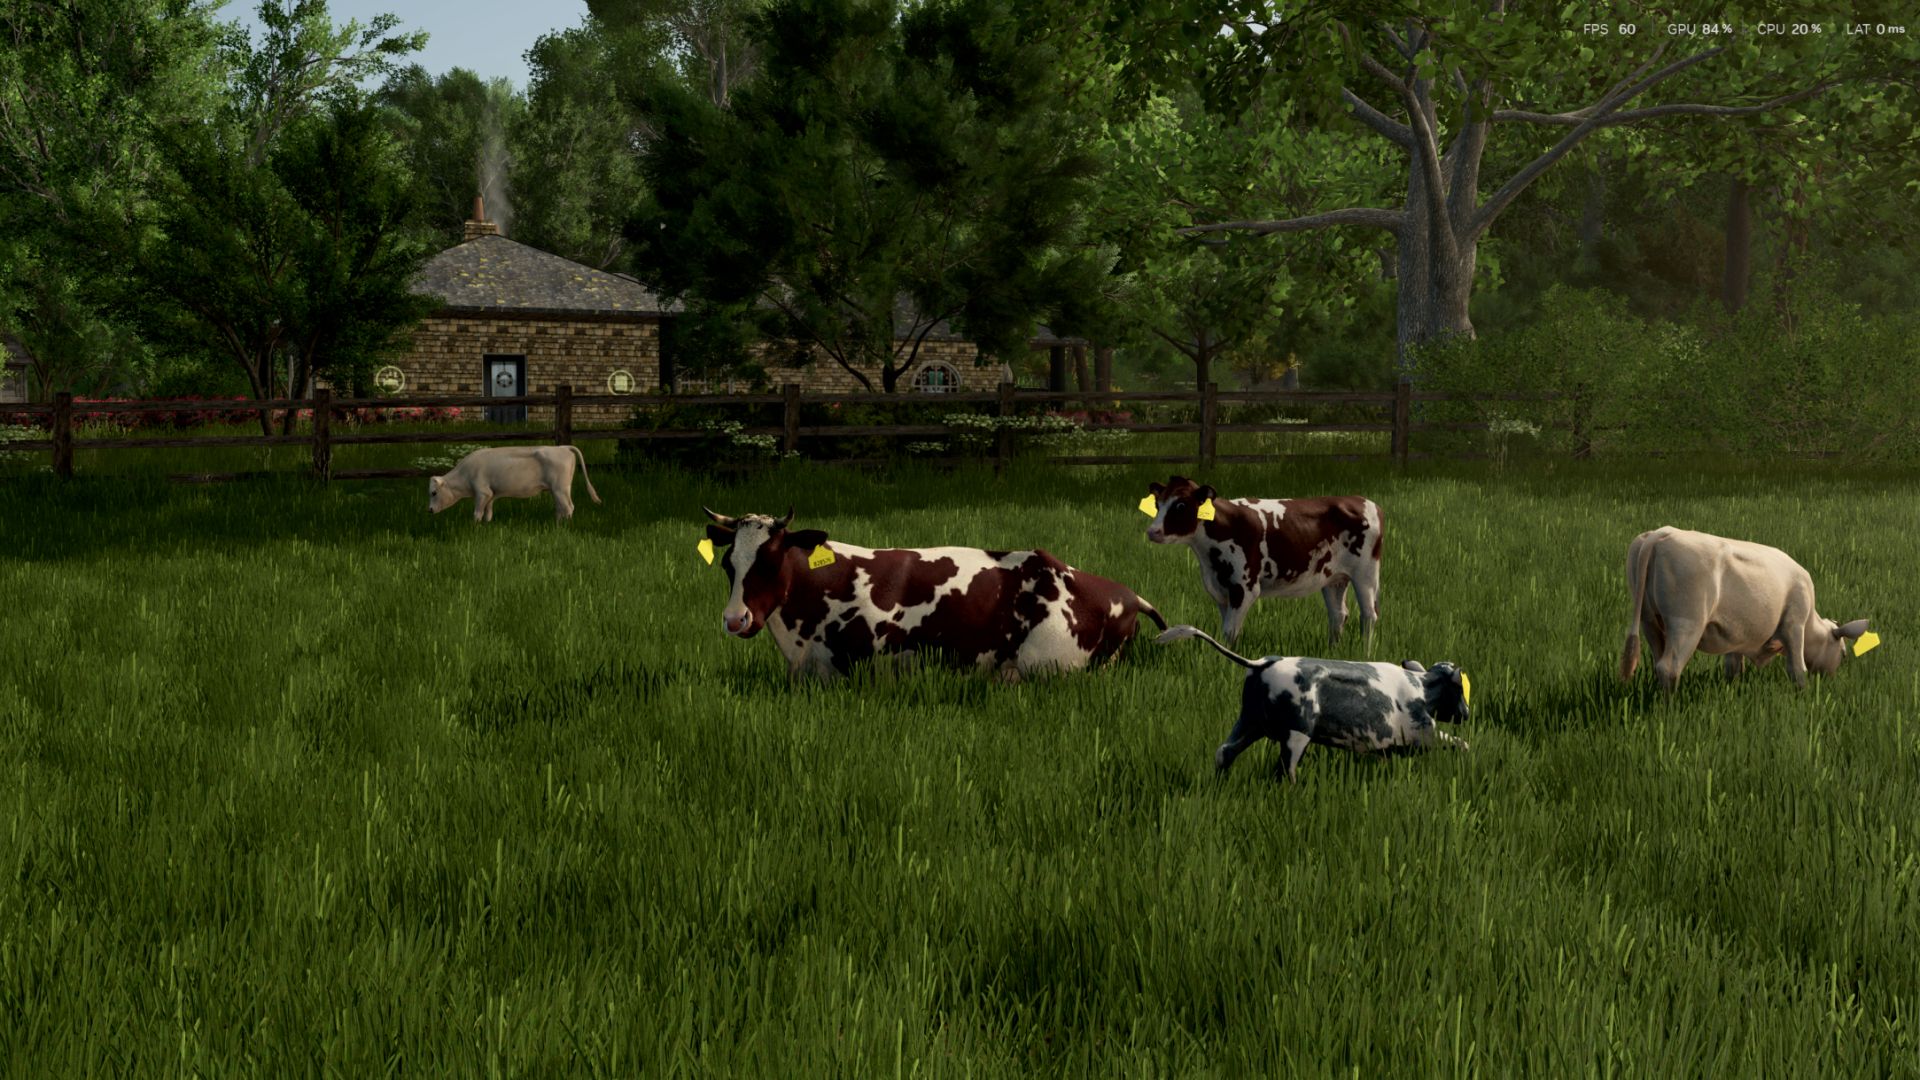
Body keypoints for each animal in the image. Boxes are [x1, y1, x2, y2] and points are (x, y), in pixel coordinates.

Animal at [428, 445, 601, 522]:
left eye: (434, 492)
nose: (429, 510)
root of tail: (562, 447)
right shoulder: (491, 495)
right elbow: (488, 513)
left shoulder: (482, 493)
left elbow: (477, 513)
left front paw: (475, 527)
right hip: (558, 490)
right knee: (560, 508)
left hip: (560, 489)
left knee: (568, 507)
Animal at [1143, 476, 1383, 652]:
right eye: (1157, 503)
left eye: (1181, 505)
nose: (1152, 532)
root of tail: (1363, 501)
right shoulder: (1222, 589)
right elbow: (1226, 627)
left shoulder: (1244, 587)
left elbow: (1230, 630)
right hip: (1334, 578)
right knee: (1338, 614)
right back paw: (1332, 651)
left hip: (1366, 573)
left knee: (1368, 615)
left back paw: (1365, 654)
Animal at [1158, 624, 1469, 782]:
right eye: (1461, 689)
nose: (1466, 714)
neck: (1421, 688)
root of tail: (1262, 661)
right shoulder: (1424, 732)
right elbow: (1460, 743)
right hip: (1296, 733)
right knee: (1285, 770)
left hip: (1250, 721)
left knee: (1224, 752)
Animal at [1619, 526, 1872, 690]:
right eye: (1843, 654)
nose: (1830, 678)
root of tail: (1661, 533)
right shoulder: (1794, 624)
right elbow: (1797, 669)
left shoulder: (1735, 635)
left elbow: (1733, 668)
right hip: (1686, 624)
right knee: (1669, 668)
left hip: (1650, 622)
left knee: (1657, 663)